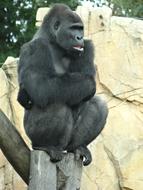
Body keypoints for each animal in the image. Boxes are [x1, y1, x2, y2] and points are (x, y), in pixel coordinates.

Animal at [17, 3, 108, 166]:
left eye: (80, 29)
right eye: (73, 29)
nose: (79, 37)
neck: (54, 41)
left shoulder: (86, 46)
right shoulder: (36, 47)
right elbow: (42, 87)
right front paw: (90, 85)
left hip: (68, 144)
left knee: (99, 104)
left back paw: (78, 147)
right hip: (30, 133)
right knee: (56, 102)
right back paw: (46, 145)